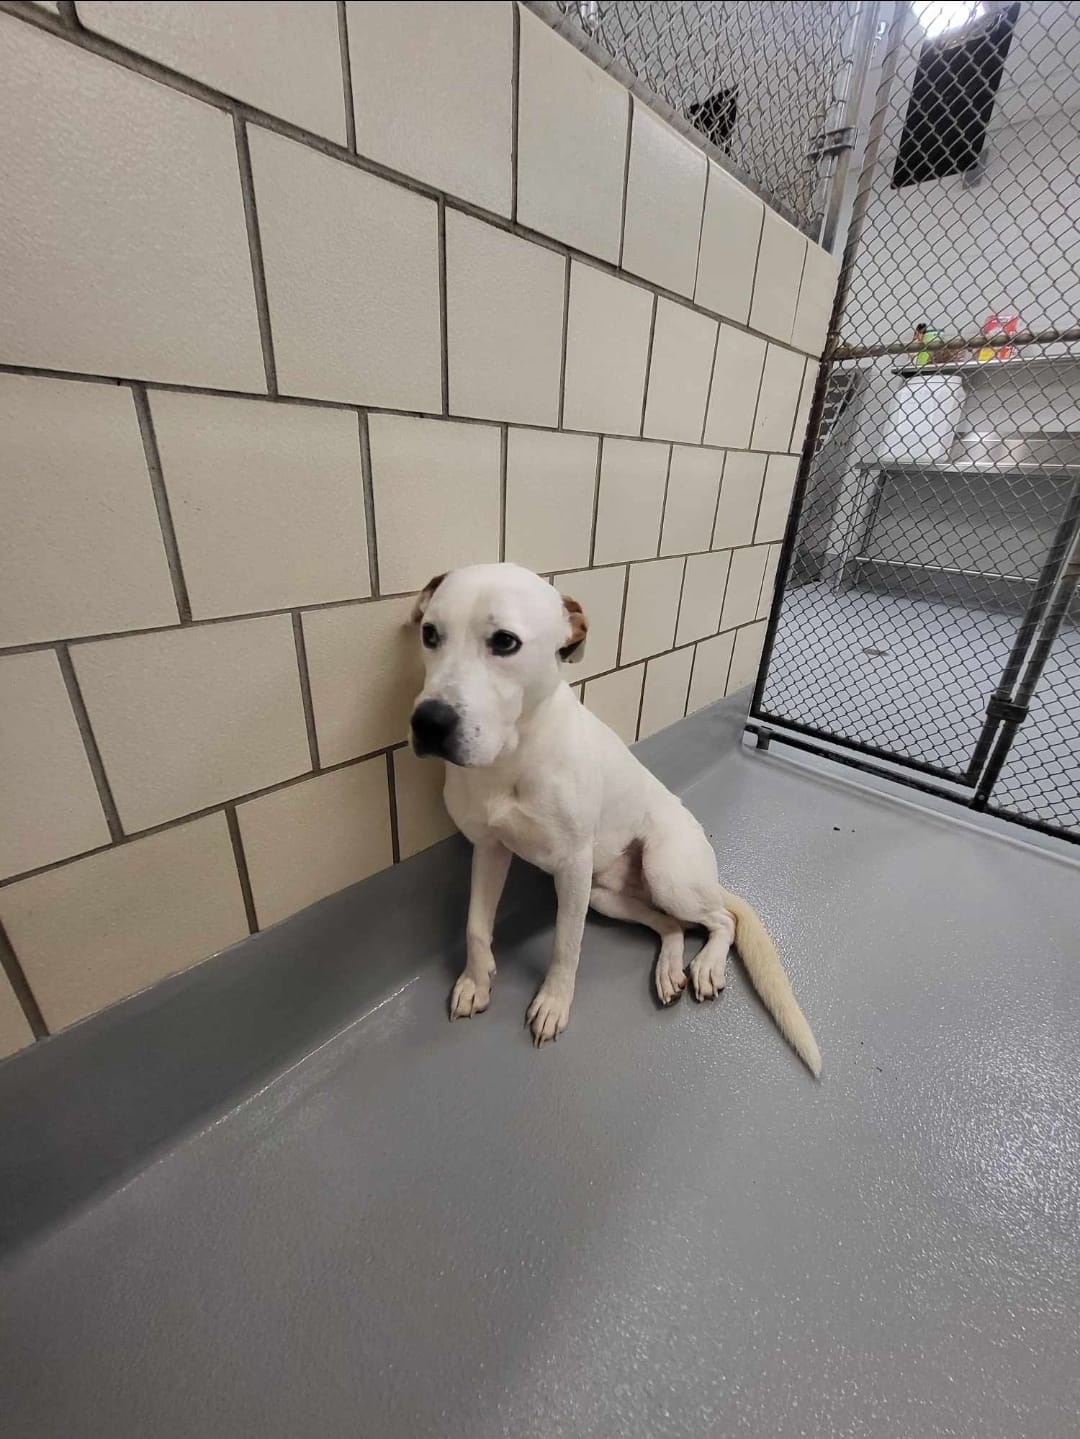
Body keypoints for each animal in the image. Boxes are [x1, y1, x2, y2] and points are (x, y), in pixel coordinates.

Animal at [408, 566, 822, 1076]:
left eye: (504, 641)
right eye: (430, 634)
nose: (428, 723)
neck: (513, 755)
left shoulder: (571, 868)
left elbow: (566, 946)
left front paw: (553, 1003)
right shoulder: (488, 850)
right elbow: (476, 925)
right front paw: (474, 981)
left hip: (665, 874)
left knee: (722, 919)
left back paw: (706, 965)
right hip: (606, 897)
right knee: (672, 926)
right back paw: (668, 971)